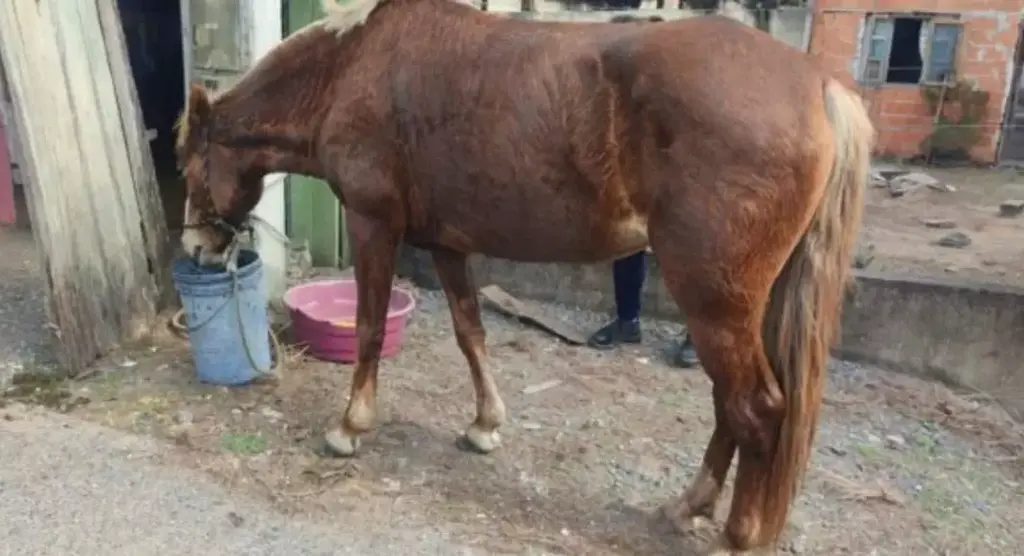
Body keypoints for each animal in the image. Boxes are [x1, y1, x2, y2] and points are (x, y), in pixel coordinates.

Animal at [174, 2, 872, 552]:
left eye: (186, 164)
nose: (197, 249)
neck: (347, 70)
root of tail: (819, 85)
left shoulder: (375, 225)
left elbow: (370, 327)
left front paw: (350, 427)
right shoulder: (446, 244)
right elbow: (470, 332)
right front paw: (485, 425)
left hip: (712, 300)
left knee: (755, 407)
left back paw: (736, 533)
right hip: (739, 305)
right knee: (732, 406)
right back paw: (688, 506)